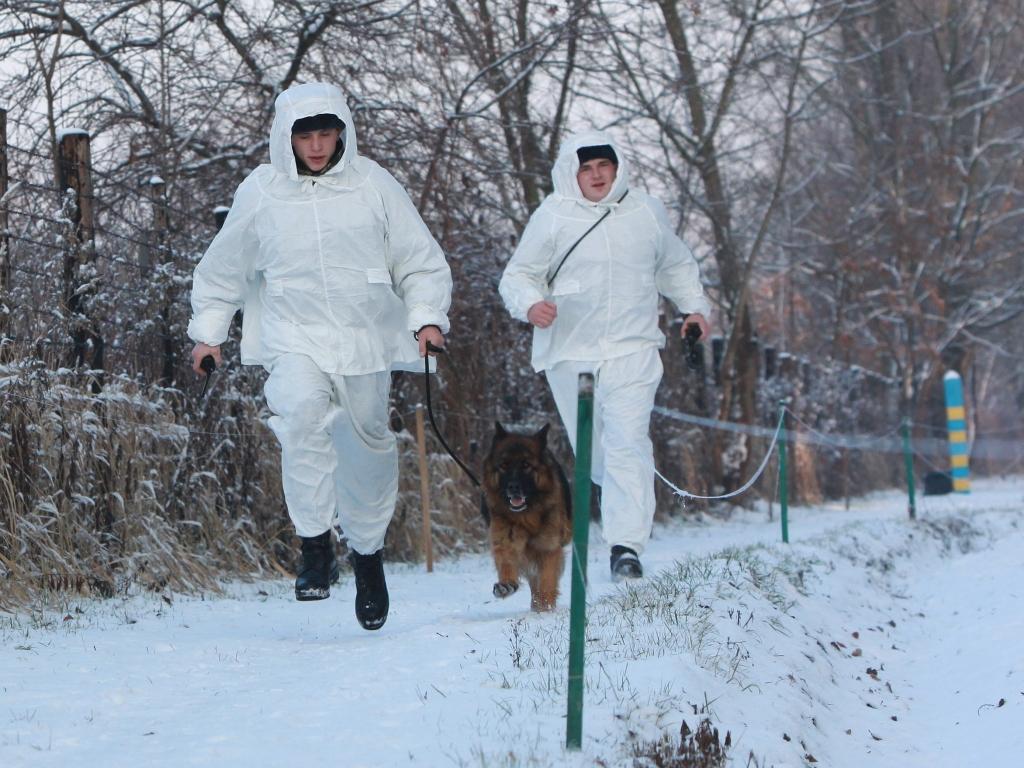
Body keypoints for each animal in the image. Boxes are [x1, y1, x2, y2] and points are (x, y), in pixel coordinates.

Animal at [481, 421, 573, 614]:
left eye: (526, 465)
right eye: (504, 465)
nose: (513, 487)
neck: (527, 516)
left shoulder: (548, 548)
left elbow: (547, 580)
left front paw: (545, 610)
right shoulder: (505, 540)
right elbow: (506, 561)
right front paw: (506, 585)